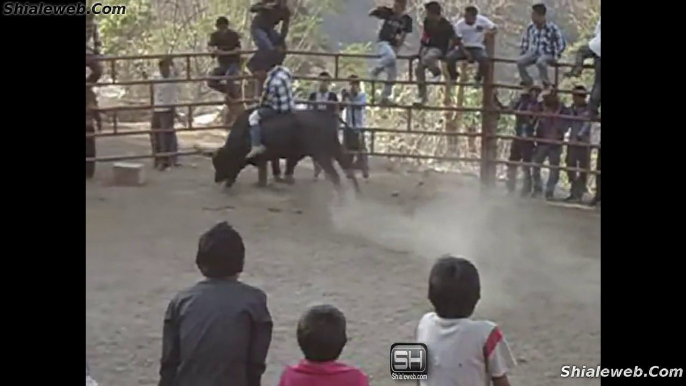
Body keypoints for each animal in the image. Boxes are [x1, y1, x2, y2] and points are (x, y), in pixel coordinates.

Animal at [212, 108, 362, 192]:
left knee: (336, 175)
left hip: (322, 154)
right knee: (347, 167)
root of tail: (326, 115)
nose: (216, 179)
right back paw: (356, 192)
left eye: (221, 162)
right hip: (333, 148)